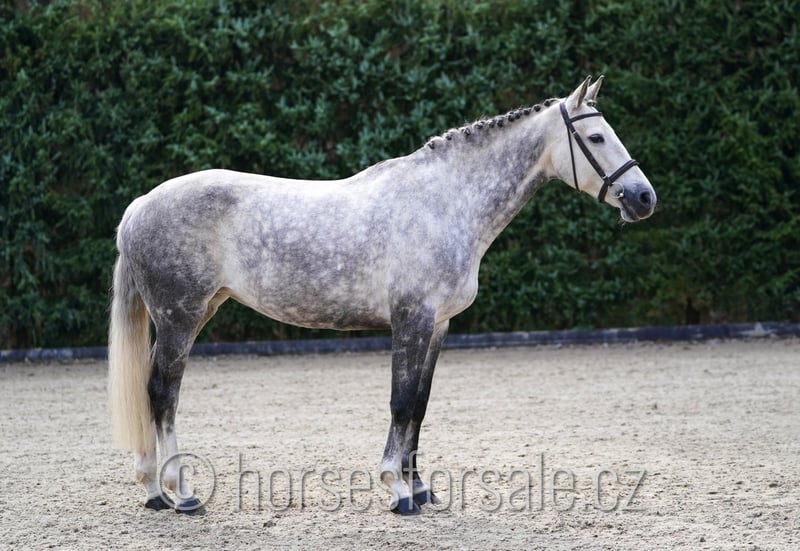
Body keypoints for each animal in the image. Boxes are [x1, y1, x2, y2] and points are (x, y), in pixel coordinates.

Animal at [108, 76, 656, 515]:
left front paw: (421, 488)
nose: (644, 197)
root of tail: (139, 205)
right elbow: (401, 400)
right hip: (179, 318)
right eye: (595, 136)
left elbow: (420, 404)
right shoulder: (411, 319)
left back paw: (153, 490)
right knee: (162, 392)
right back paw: (180, 494)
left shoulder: (438, 325)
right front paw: (397, 491)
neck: (445, 203)